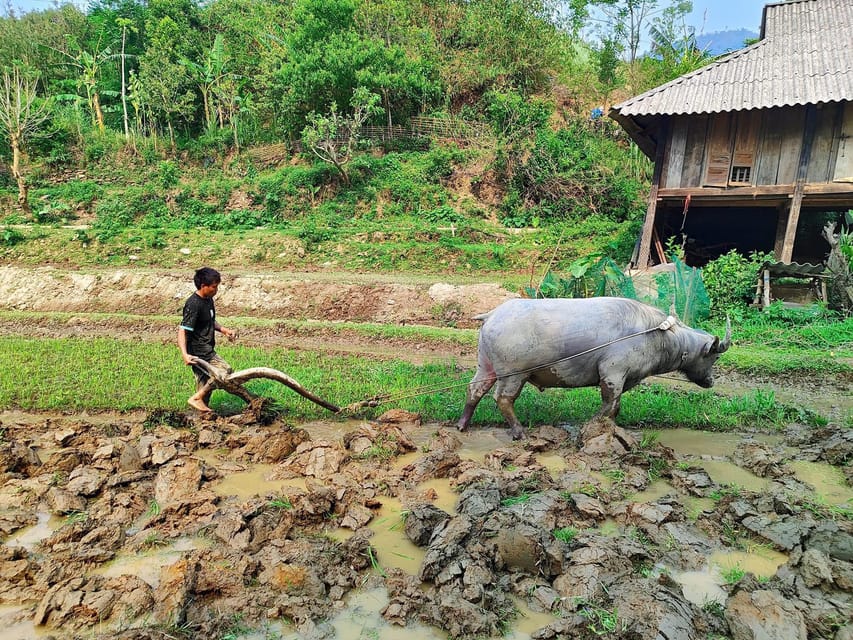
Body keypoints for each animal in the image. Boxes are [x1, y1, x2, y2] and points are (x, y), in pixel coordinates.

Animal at [456, 296, 728, 440]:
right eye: (714, 357)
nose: (711, 381)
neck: (656, 335)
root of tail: (492, 315)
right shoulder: (612, 373)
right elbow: (609, 405)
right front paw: (589, 428)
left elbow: (615, 408)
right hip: (514, 374)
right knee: (502, 399)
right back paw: (519, 432)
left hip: (486, 365)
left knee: (474, 390)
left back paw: (462, 425)